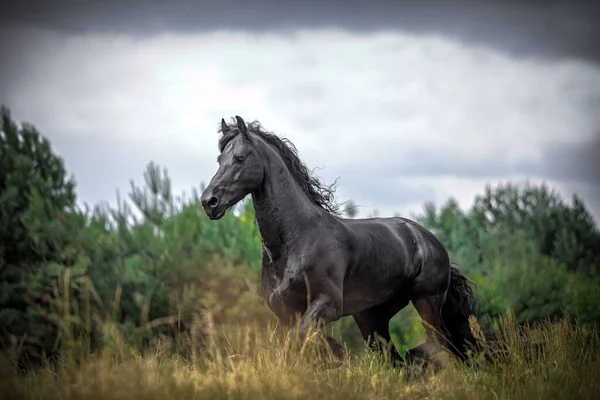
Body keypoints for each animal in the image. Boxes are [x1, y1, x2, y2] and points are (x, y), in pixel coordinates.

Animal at [202, 115, 478, 368]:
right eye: (219, 160)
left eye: (239, 158)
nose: (209, 202)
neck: (295, 242)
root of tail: (429, 240)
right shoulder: (286, 311)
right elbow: (301, 343)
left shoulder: (328, 303)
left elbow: (299, 339)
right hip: (371, 316)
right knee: (395, 356)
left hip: (426, 301)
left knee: (440, 342)